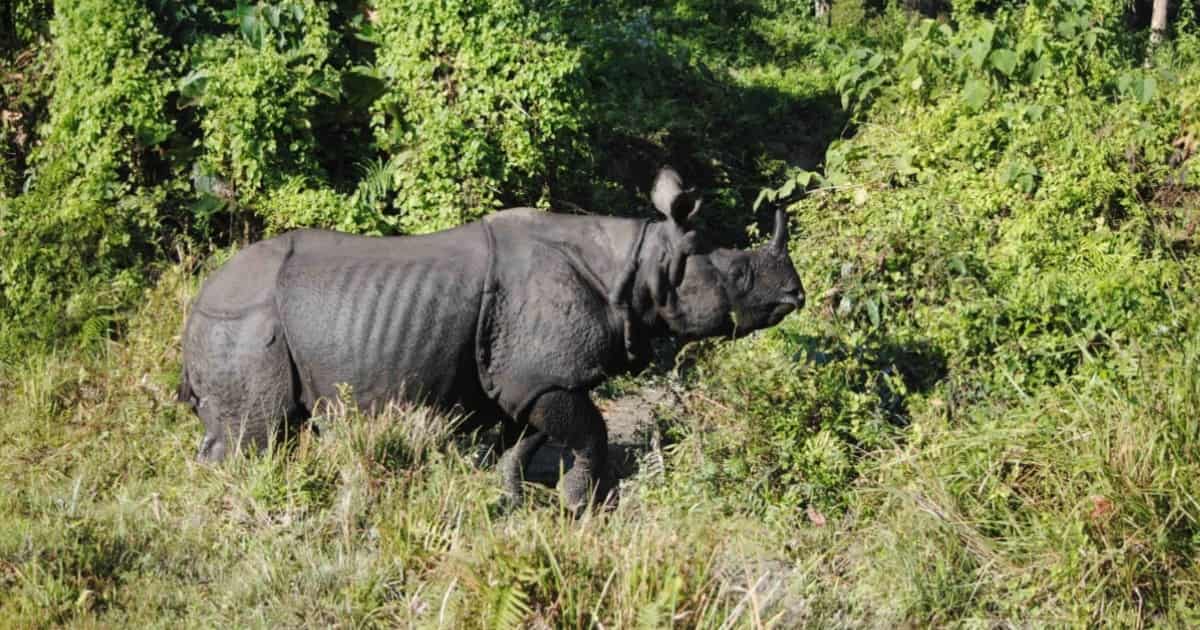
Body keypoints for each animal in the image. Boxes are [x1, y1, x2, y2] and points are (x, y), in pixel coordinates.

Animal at [177, 167, 804, 511]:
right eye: (738, 274)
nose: (794, 296)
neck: (642, 265)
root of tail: (197, 301)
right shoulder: (541, 376)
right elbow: (592, 433)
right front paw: (580, 506)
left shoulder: (523, 380)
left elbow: (524, 442)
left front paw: (510, 501)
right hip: (242, 319)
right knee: (254, 436)